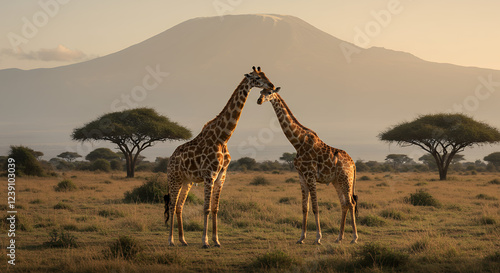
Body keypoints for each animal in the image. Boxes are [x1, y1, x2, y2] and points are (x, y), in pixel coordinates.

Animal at [163, 67, 274, 248]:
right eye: (257, 78)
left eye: (265, 75)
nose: (271, 85)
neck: (223, 137)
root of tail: (170, 159)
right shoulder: (210, 175)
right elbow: (206, 208)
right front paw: (205, 241)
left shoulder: (221, 175)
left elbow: (215, 208)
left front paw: (216, 240)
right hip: (174, 178)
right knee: (172, 206)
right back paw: (171, 240)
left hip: (187, 181)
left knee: (179, 206)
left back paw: (183, 240)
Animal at [258, 86, 360, 242]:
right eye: (260, 92)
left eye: (269, 92)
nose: (259, 100)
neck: (298, 143)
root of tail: (353, 164)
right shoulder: (301, 176)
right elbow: (304, 207)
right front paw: (301, 237)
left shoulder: (310, 175)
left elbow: (315, 207)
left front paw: (318, 237)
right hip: (337, 181)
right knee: (344, 204)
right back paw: (339, 237)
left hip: (346, 179)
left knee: (351, 203)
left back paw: (354, 237)